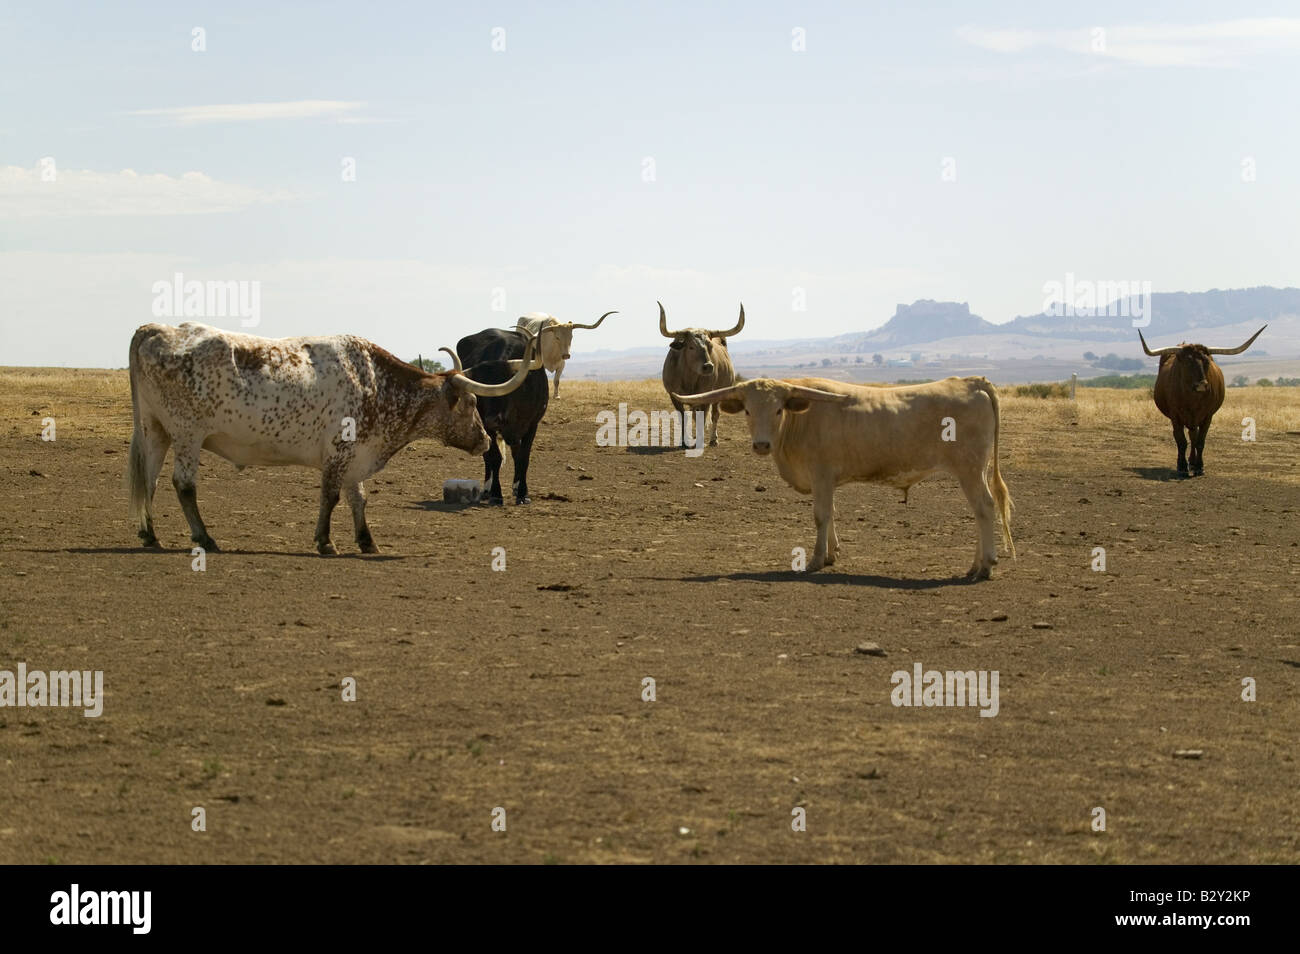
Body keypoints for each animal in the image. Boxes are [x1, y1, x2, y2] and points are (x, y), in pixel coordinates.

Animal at [1144, 327, 1263, 478]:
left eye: (1207, 362)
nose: (1202, 384)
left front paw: (1199, 467)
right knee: (1182, 437)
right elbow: (1181, 442)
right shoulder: (1175, 417)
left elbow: (1200, 442)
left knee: (1193, 437)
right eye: (1188, 362)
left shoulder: (1207, 416)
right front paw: (1182, 468)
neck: (1193, 398)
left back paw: (1193, 462)